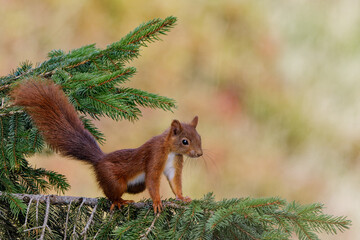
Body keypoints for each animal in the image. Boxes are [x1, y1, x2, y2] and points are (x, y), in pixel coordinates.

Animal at [10, 79, 202, 213]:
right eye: (185, 141)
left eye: (199, 138)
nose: (199, 154)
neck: (170, 150)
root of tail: (99, 160)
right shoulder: (155, 154)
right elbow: (153, 180)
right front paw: (156, 202)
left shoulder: (174, 162)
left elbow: (174, 181)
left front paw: (182, 197)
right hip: (114, 179)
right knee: (111, 193)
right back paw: (119, 201)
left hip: (135, 186)